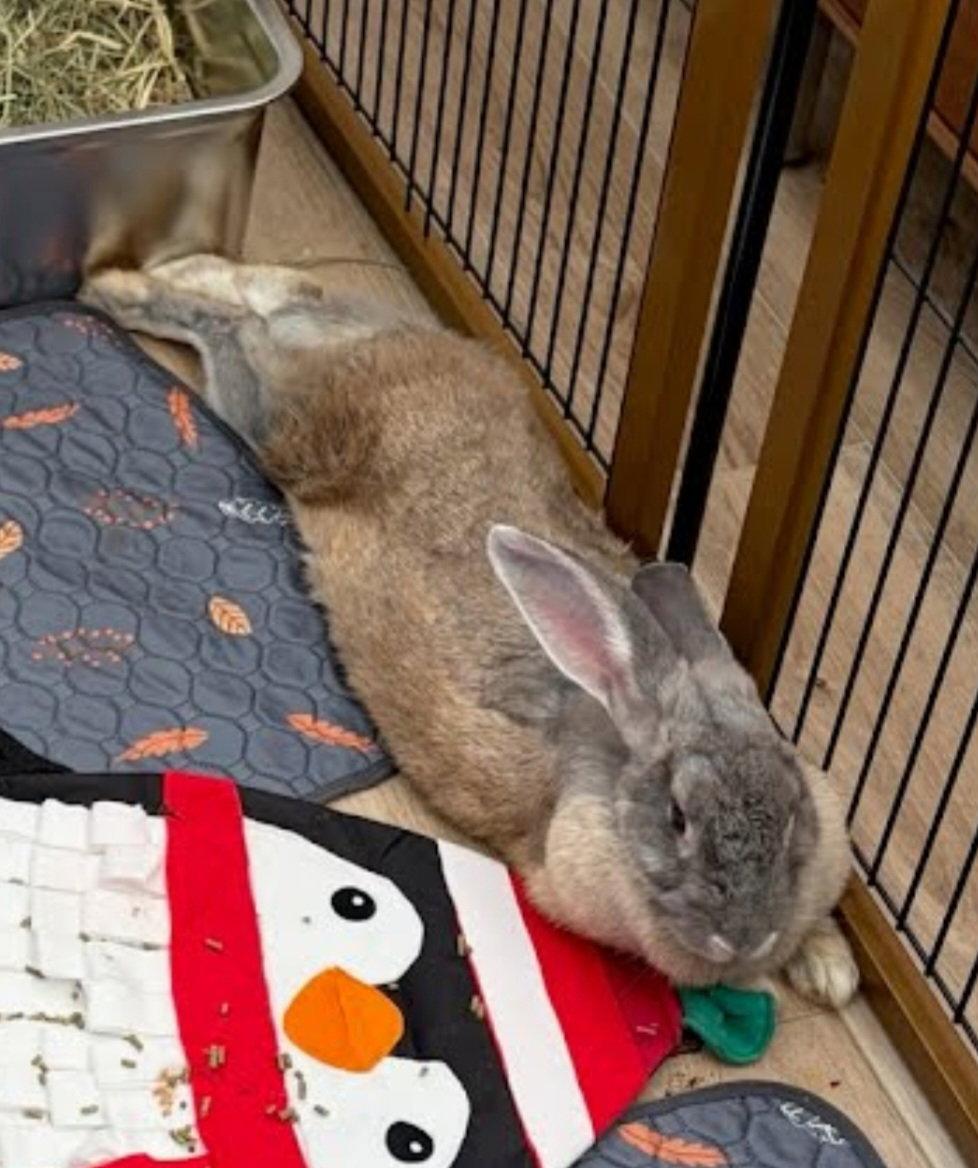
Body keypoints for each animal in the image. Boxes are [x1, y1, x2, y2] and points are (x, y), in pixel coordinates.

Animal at [80, 255, 859, 1008]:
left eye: (794, 817)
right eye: (677, 819)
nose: (744, 938)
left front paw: (830, 970)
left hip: (296, 381)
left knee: (275, 296)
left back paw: (168, 272)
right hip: (278, 419)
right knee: (233, 322)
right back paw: (116, 290)